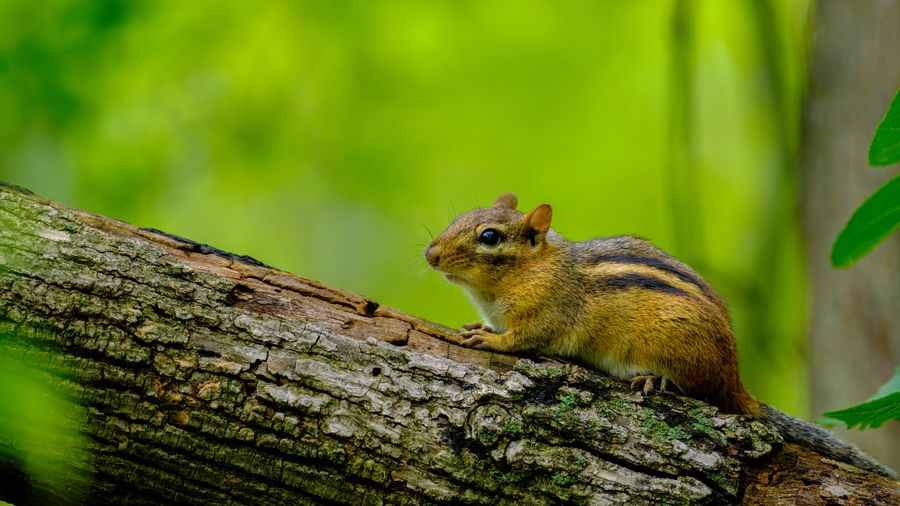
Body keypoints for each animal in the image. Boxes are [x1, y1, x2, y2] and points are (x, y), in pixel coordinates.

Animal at [424, 192, 896, 479]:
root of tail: (734, 379)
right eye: (458, 218)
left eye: (489, 237)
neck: (532, 271)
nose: (430, 254)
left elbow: (523, 340)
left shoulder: (547, 314)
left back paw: (655, 379)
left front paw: (490, 340)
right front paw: (481, 327)